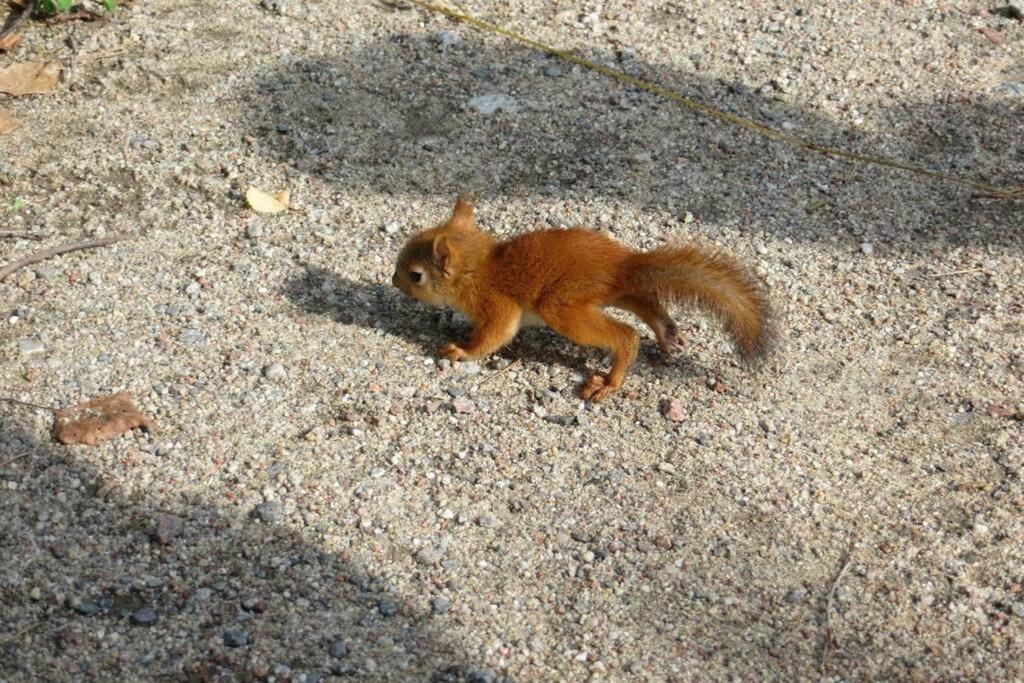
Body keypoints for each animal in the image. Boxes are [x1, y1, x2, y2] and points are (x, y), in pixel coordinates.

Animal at [389, 193, 770, 401]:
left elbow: (497, 332)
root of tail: (619, 265)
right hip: (608, 294)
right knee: (645, 302)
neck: (479, 270)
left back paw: (610, 381)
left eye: (415, 275)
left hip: (561, 305)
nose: (393, 281)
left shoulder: (496, 304)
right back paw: (666, 332)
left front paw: (461, 350)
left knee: (625, 334)